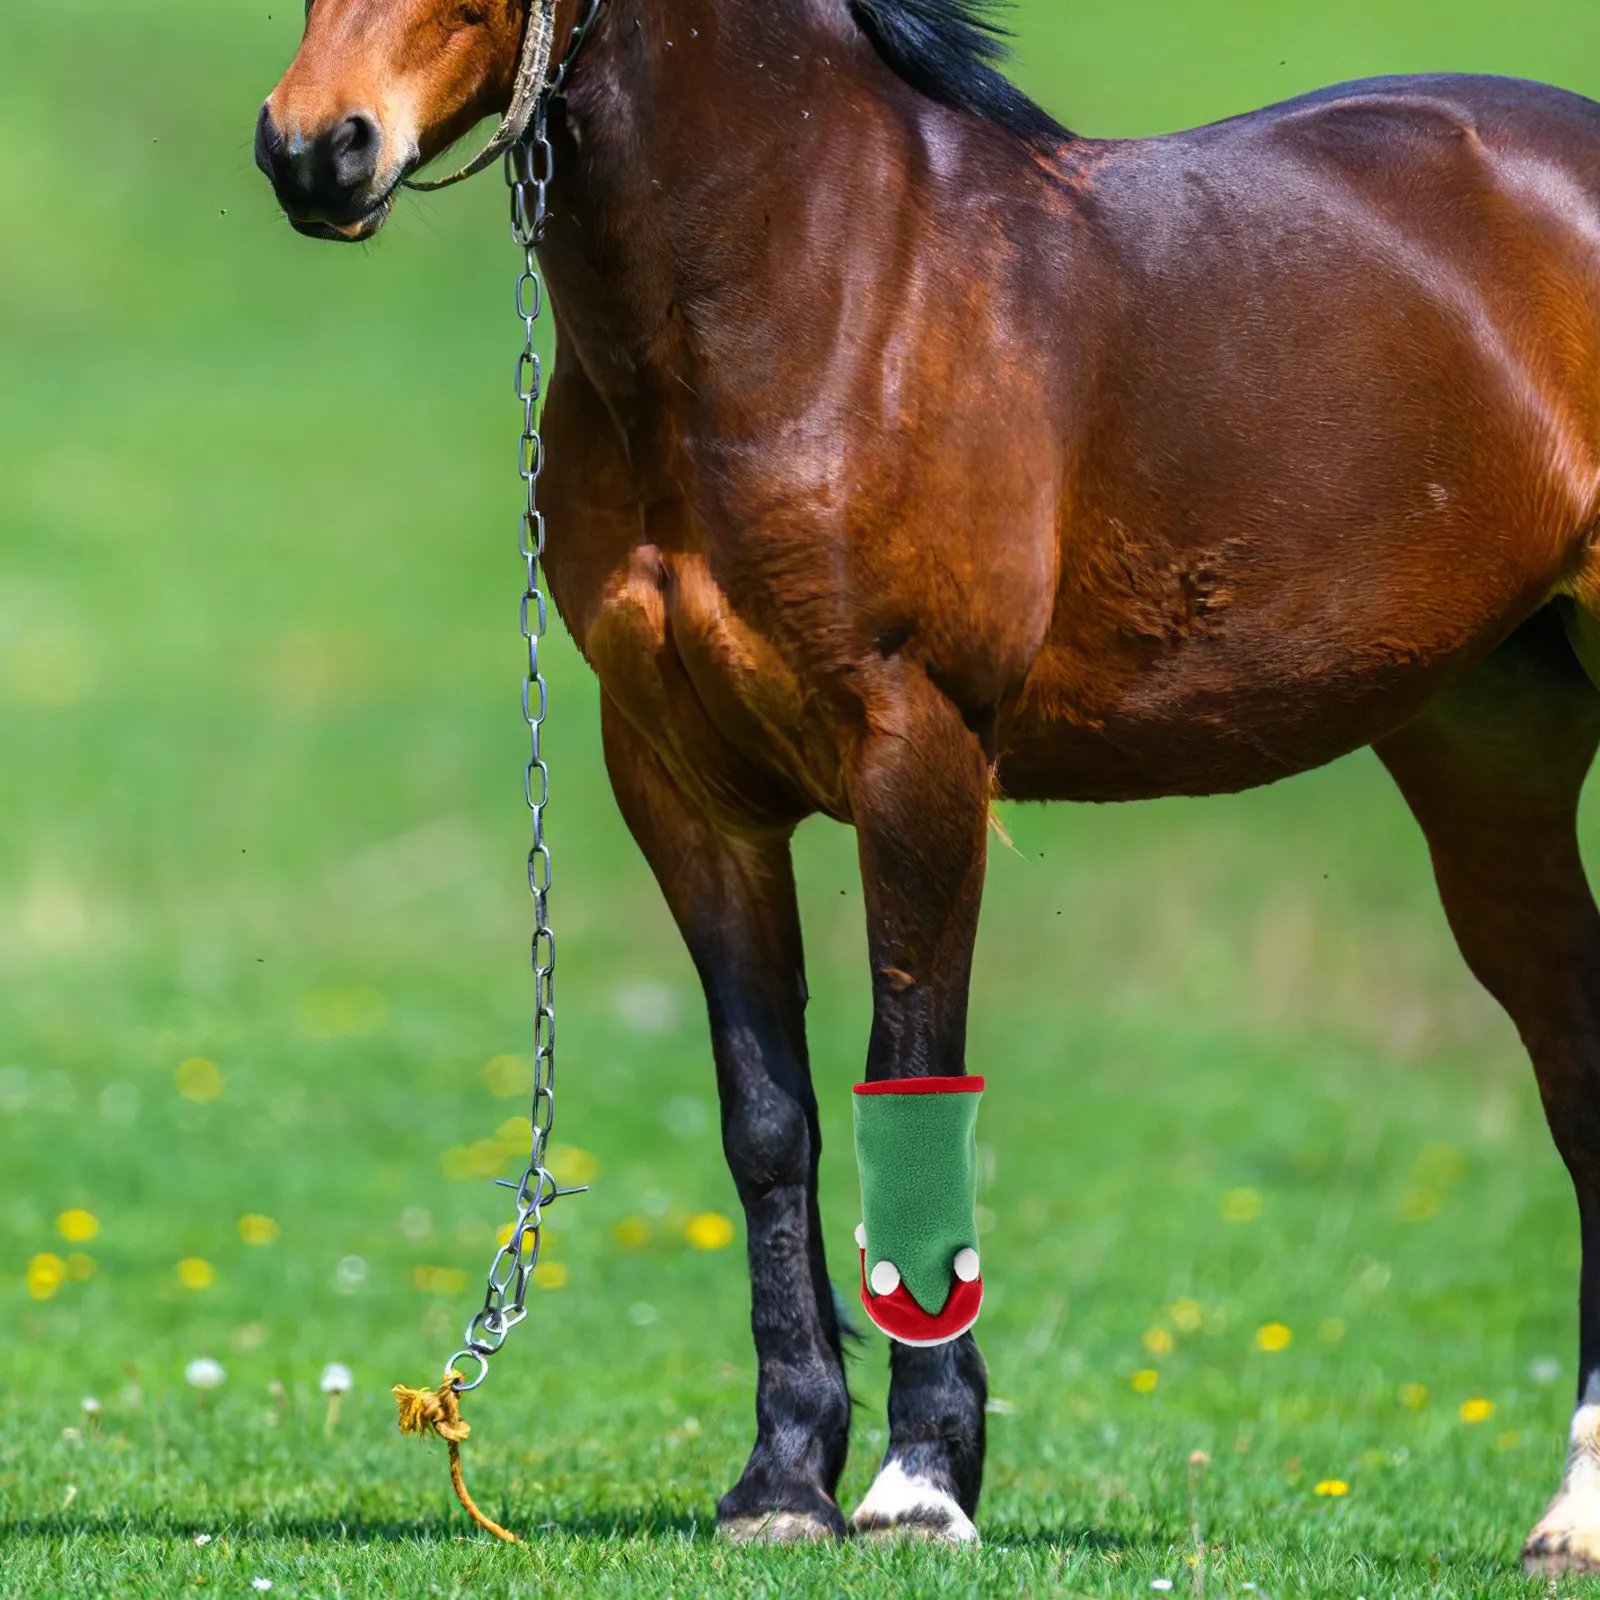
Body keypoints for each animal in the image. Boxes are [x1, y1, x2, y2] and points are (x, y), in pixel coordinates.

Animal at [257, 0, 1600, 1566]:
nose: (315, 150)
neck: (811, 284)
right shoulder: (682, 786)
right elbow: (767, 1119)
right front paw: (783, 1480)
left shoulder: (920, 757)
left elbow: (907, 1076)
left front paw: (918, 1481)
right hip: (1486, 758)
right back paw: (1573, 1508)